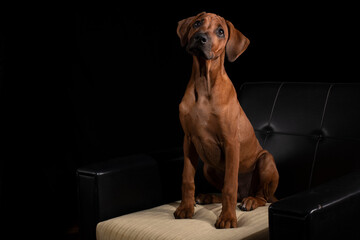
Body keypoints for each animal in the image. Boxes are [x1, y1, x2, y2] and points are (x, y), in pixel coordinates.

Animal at [173, 12, 280, 229]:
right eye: (197, 23)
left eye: (221, 31)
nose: (200, 38)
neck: (203, 82)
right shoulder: (188, 140)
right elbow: (187, 178)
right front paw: (185, 208)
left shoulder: (231, 142)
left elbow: (230, 185)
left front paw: (228, 218)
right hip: (208, 167)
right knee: (233, 192)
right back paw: (207, 197)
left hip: (265, 160)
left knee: (260, 197)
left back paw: (250, 201)